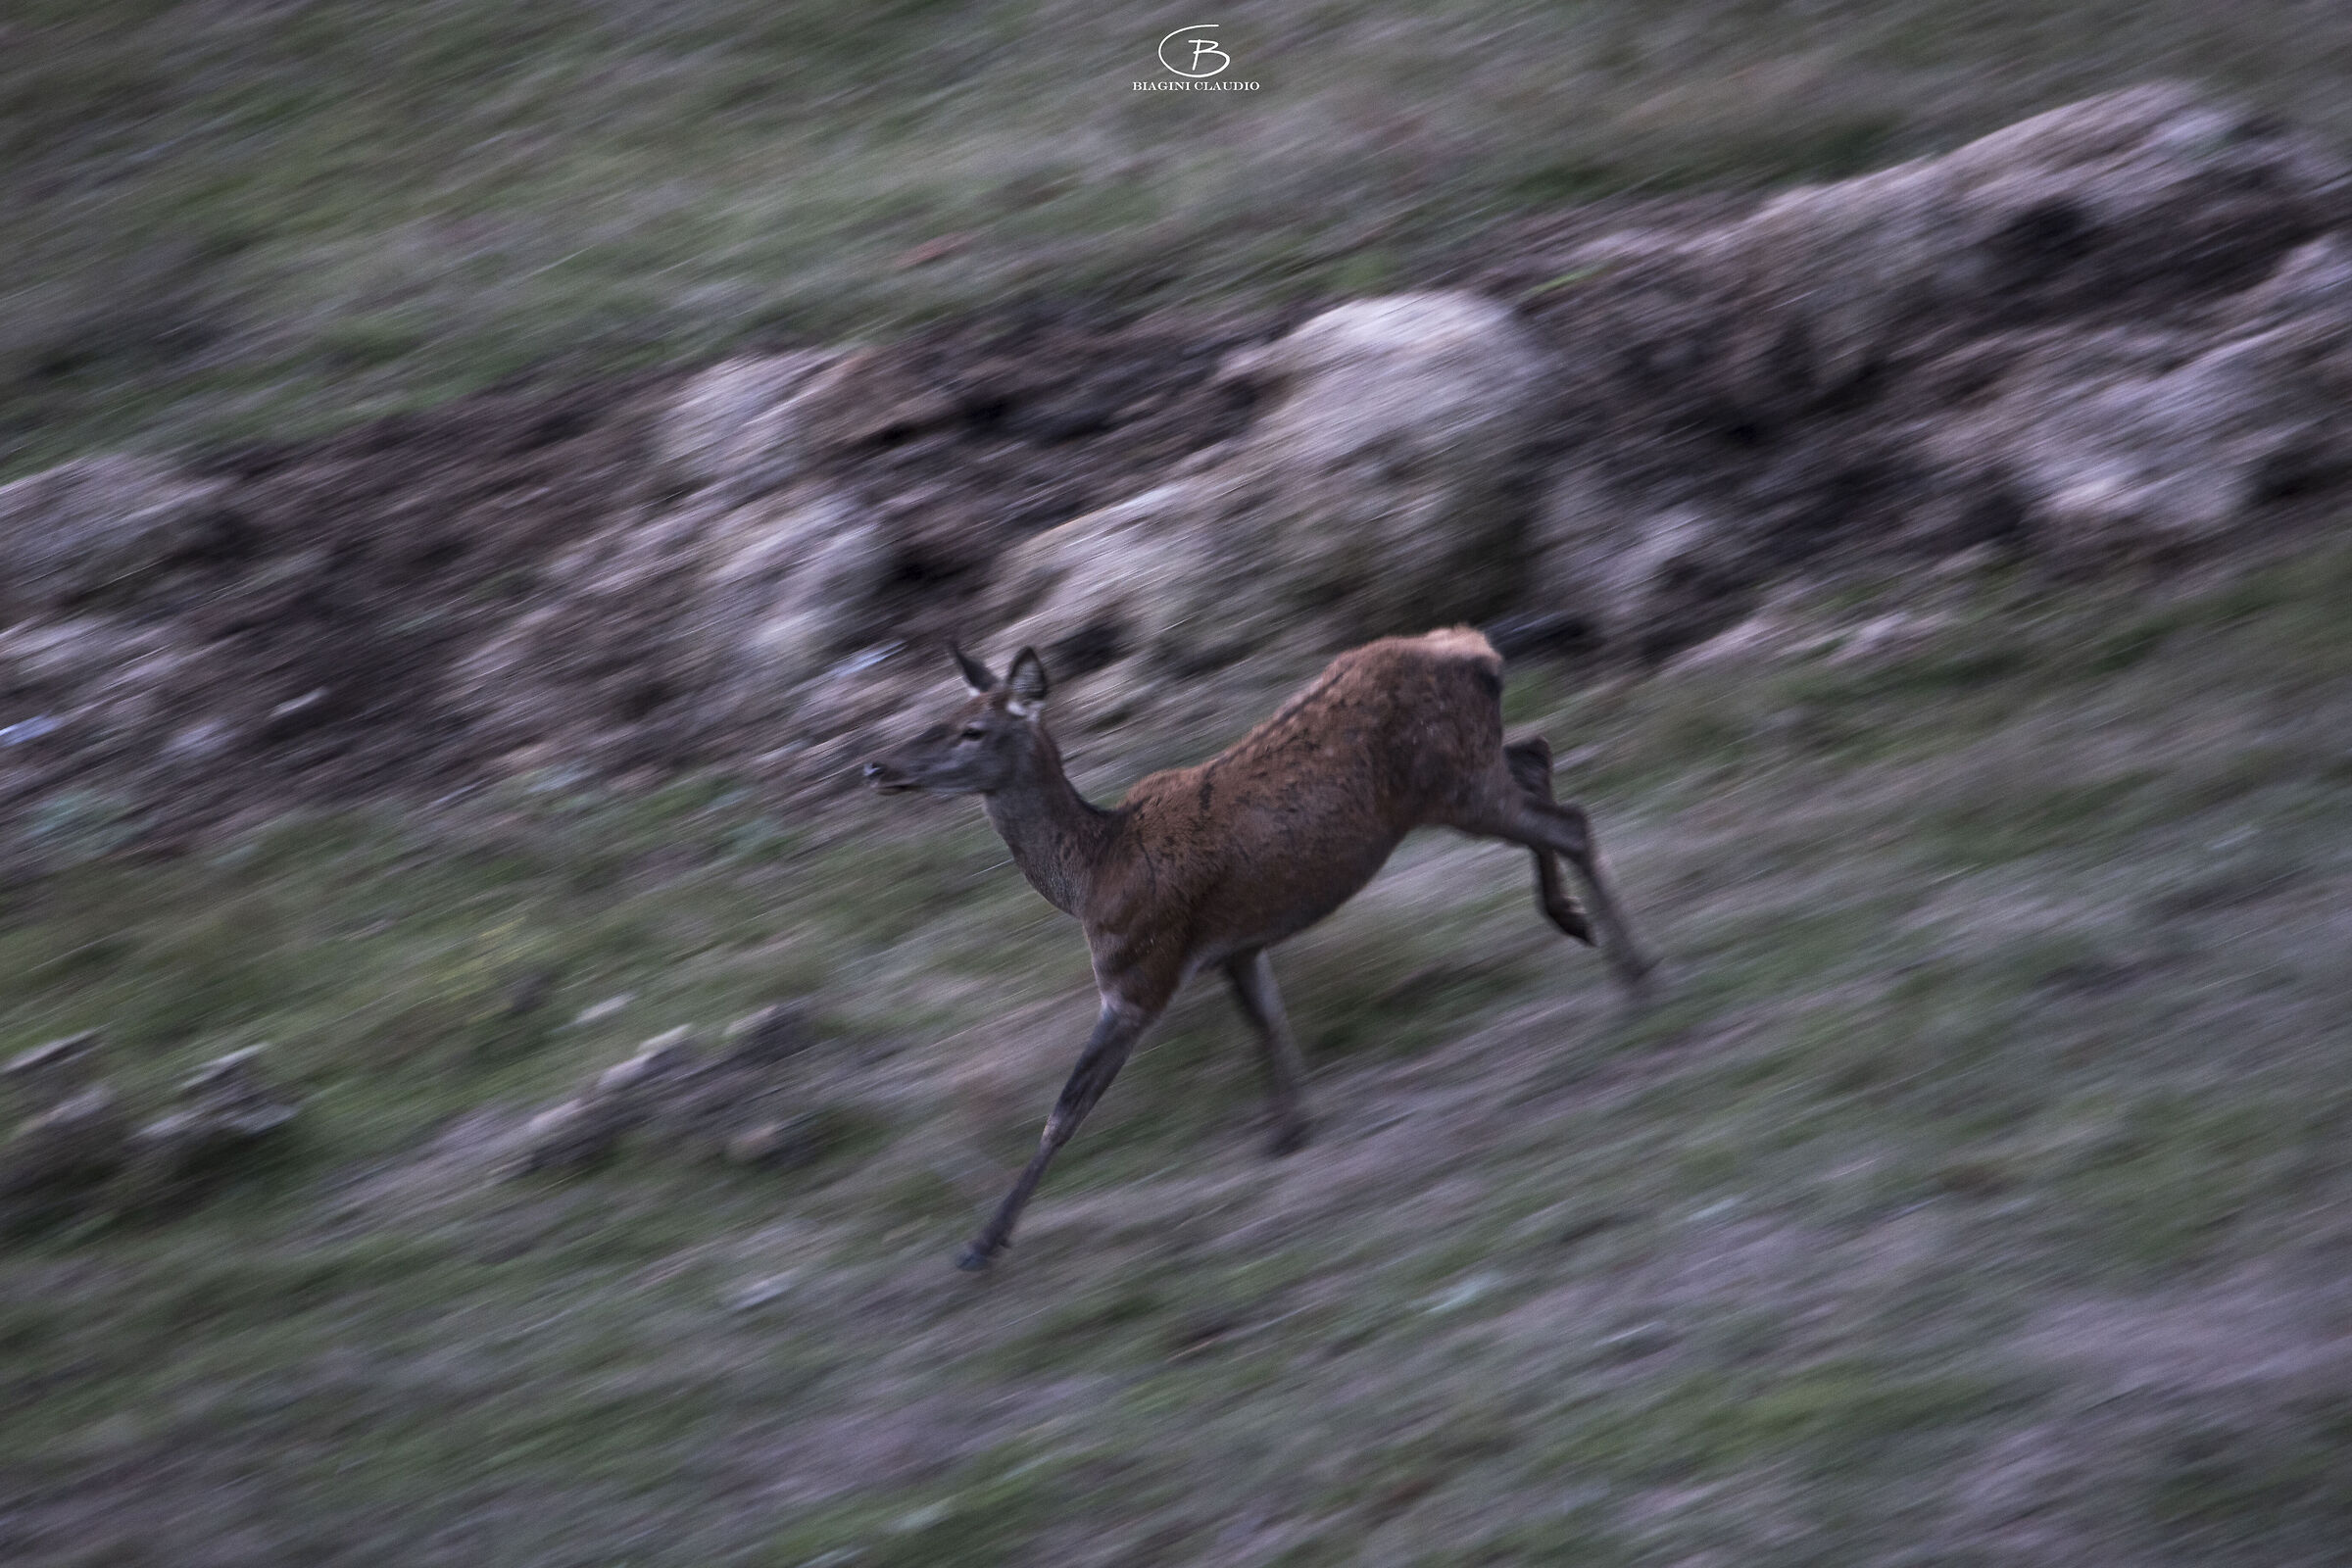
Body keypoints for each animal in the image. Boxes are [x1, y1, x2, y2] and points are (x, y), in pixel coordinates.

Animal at [863, 627, 1655, 1271]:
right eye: (939, 717)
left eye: (971, 729)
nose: (876, 766)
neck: (1091, 876)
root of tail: (1480, 652)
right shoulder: (1233, 949)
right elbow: (1267, 1023)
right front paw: (1289, 1129)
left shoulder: (1139, 972)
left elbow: (1066, 1108)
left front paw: (981, 1244)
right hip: (1470, 770)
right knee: (1537, 756)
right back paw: (1577, 921)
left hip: (1455, 782)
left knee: (1570, 820)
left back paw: (1633, 972)